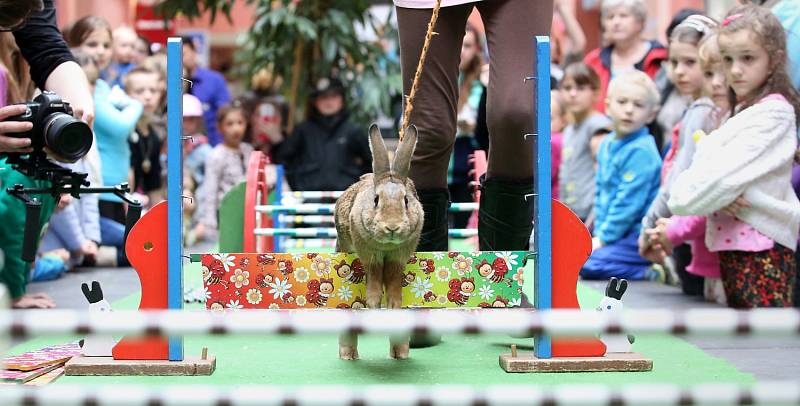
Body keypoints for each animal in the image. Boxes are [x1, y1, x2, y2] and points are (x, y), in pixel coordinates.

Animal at [334, 123, 424, 358]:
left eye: (406, 200)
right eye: (376, 200)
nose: (392, 227)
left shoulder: (398, 256)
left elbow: (393, 280)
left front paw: (394, 305)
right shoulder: (369, 254)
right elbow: (374, 277)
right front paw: (374, 304)